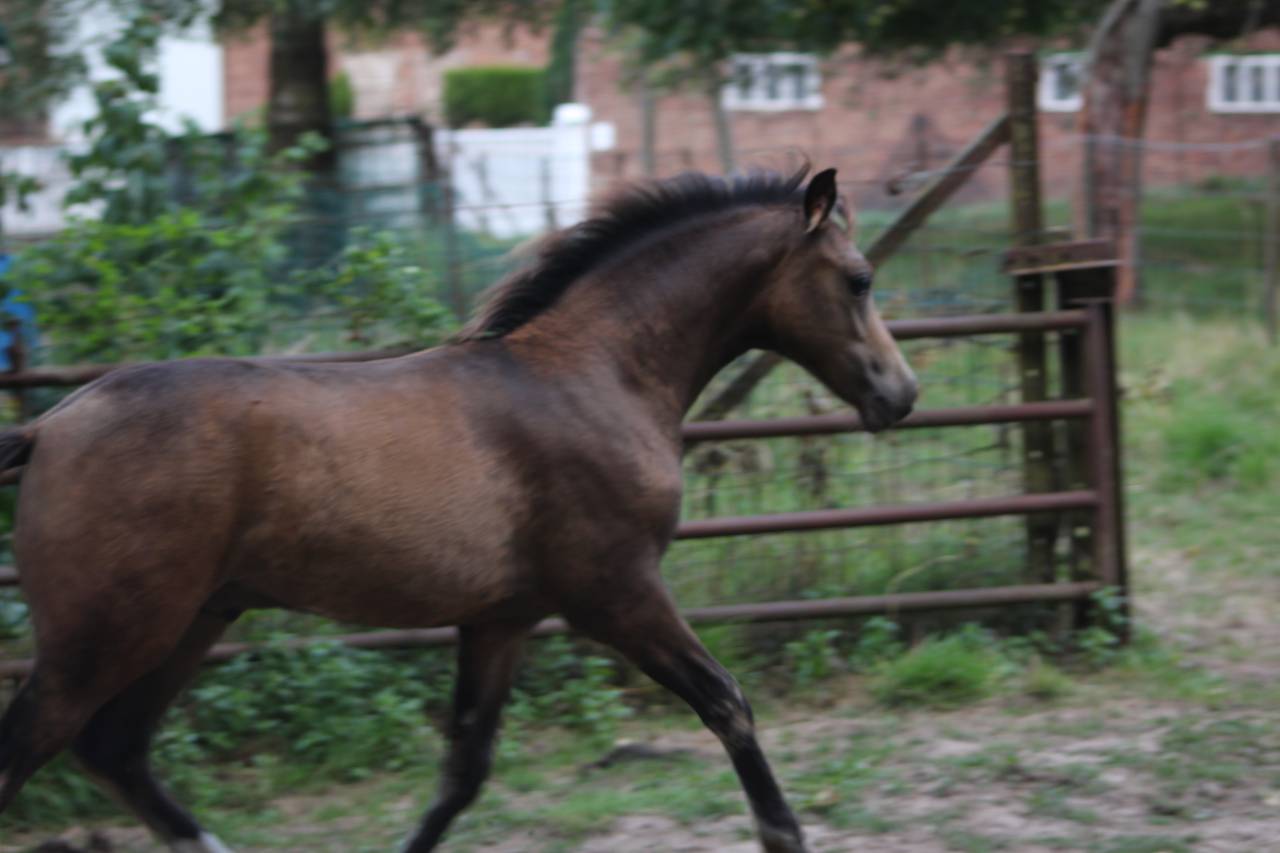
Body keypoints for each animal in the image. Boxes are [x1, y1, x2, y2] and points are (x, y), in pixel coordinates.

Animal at [0, 165, 916, 852]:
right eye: (860, 279)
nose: (901, 395)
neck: (594, 374)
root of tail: (48, 428)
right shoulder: (617, 593)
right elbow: (726, 699)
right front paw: (784, 833)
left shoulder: (501, 617)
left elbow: (463, 768)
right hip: (109, 632)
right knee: (37, 743)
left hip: (191, 619)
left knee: (115, 747)